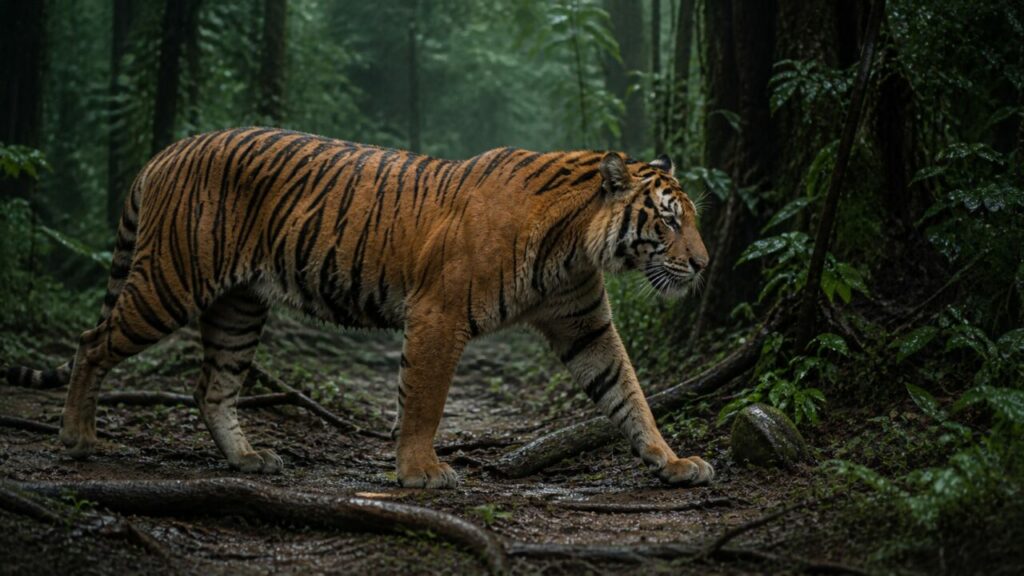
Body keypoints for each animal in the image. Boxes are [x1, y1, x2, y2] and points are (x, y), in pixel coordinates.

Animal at [6, 127, 713, 489]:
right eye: (669, 221)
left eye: (694, 219)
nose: (705, 265)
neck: (574, 247)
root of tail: (167, 150)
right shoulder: (437, 314)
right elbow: (423, 400)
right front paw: (421, 472)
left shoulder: (583, 323)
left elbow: (628, 393)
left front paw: (671, 461)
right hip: (170, 282)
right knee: (91, 343)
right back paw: (77, 437)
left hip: (238, 307)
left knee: (212, 387)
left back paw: (247, 460)